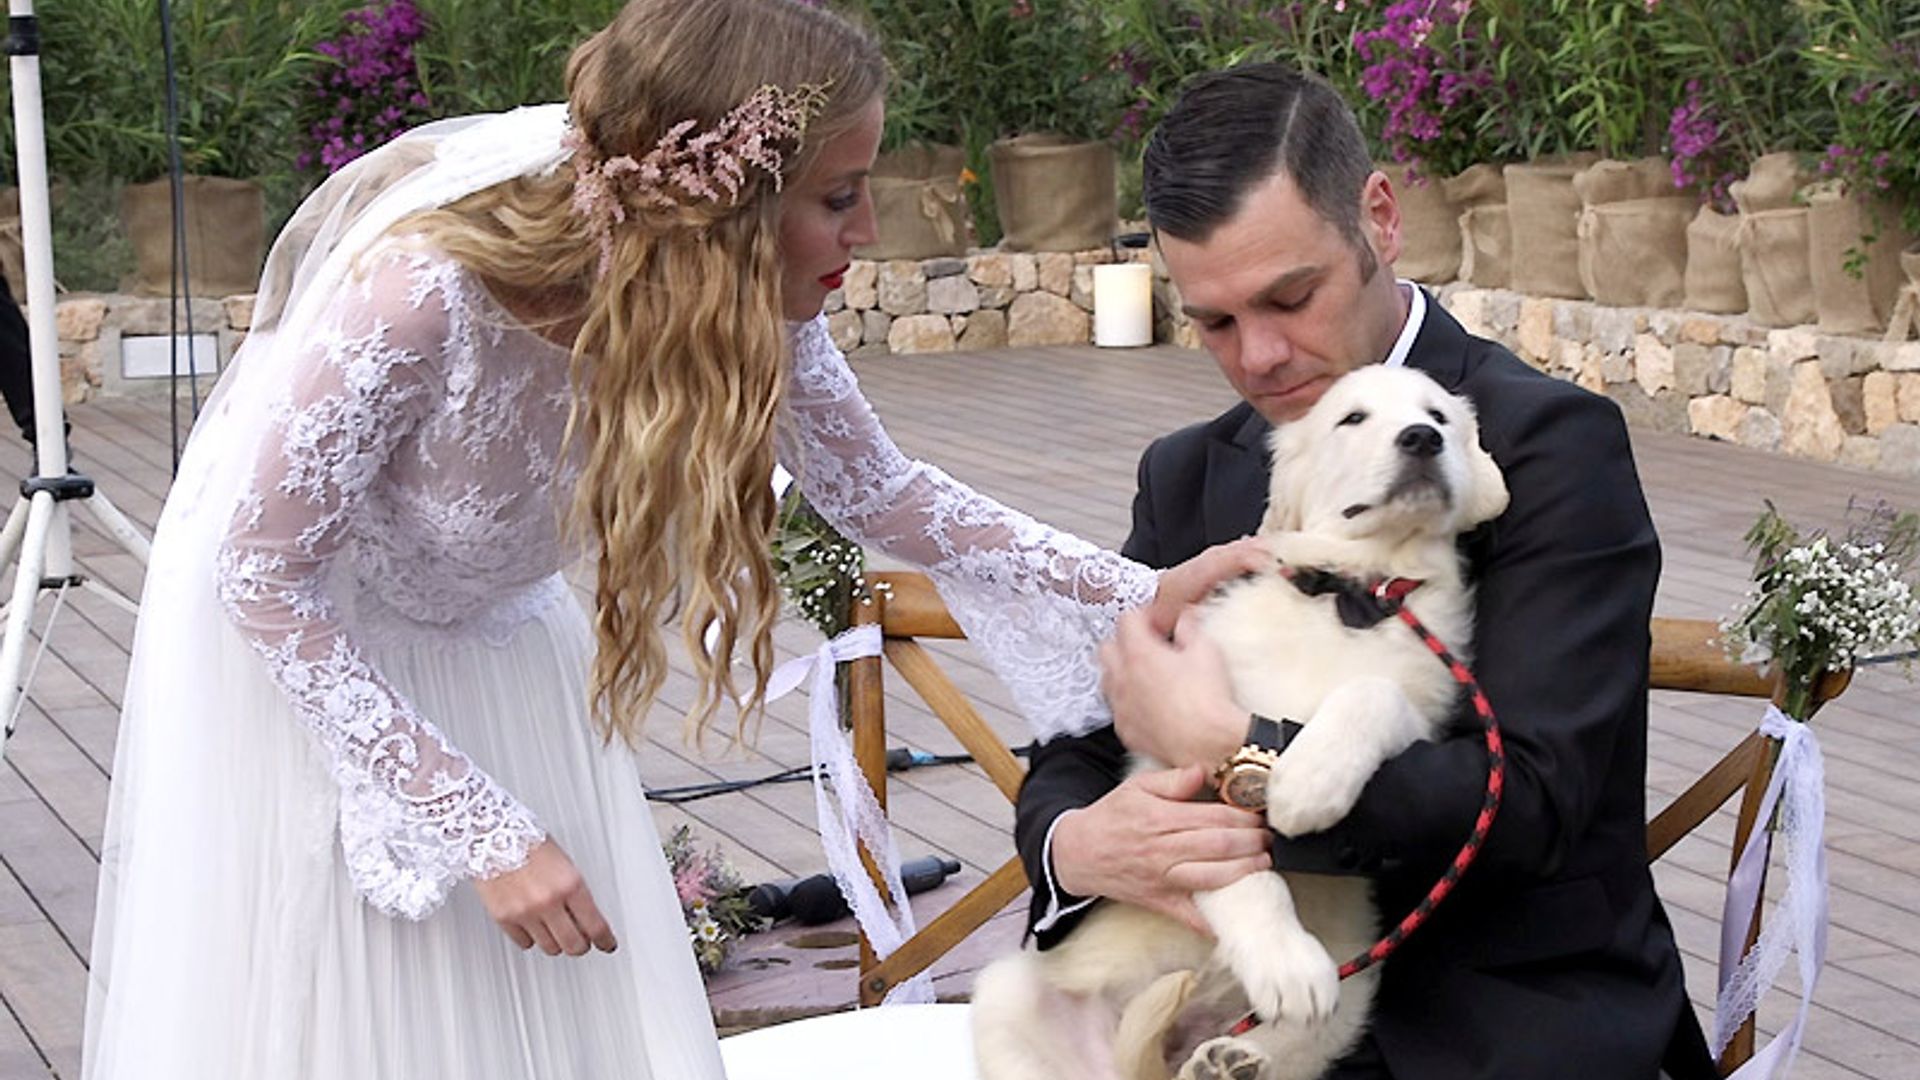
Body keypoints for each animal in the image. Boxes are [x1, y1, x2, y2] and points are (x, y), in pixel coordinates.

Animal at [975, 365, 1512, 1076]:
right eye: (1353, 419)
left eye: (1439, 417)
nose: (1422, 439)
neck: (1352, 588)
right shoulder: (1181, 774)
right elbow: (1241, 876)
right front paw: (1286, 962)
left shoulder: (1423, 707)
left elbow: (1370, 693)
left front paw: (1309, 782)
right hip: (1008, 993)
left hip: (1350, 1000)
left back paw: (1224, 1060)